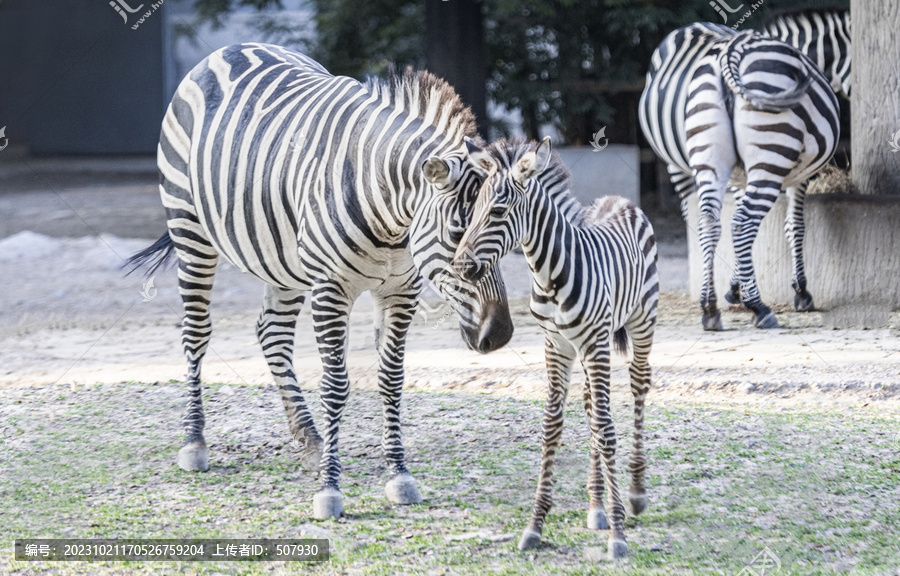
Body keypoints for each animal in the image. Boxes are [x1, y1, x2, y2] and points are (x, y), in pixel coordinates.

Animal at [130, 42, 516, 520]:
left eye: (503, 234)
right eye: (456, 236)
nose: (500, 334)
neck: (391, 219)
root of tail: (230, 48)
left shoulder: (401, 289)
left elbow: (392, 379)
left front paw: (399, 475)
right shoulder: (331, 289)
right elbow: (335, 386)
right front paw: (331, 490)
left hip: (283, 259)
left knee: (272, 332)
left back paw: (310, 438)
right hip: (191, 231)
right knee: (196, 333)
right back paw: (195, 442)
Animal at [454, 137, 656, 560]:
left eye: (498, 211)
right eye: (474, 209)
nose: (461, 266)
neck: (549, 275)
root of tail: (618, 198)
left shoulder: (595, 342)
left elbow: (606, 428)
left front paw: (618, 535)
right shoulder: (556, 344)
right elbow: (553, 426)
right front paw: (535, 525)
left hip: (642, 322)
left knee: (638, 388)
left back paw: (634, 493)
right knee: (591, 405)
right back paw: (596, 506)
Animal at [640, 23, 836, 328]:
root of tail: (729, 54)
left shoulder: (740, 177)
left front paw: (735, 288)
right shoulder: (798, 176)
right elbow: (794, 226)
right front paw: (800, 291)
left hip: (708, 162)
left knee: (710, 223)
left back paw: (710, 308)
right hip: (767, 155)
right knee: (742, 223)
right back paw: (759, 308)